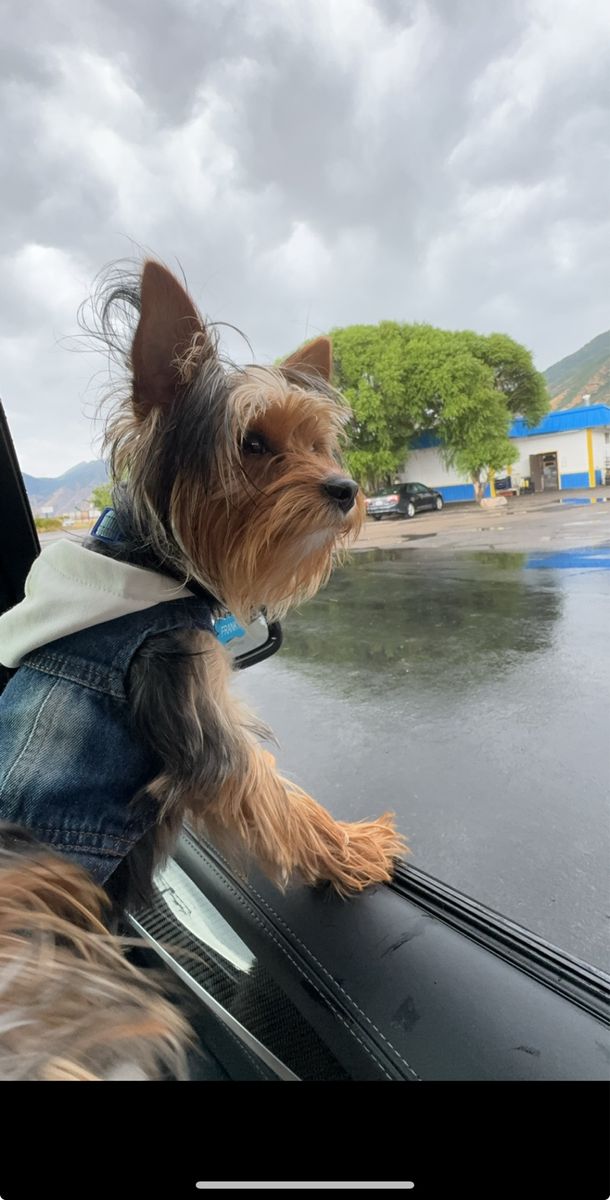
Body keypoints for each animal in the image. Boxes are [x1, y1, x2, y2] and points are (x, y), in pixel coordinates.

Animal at [0, 260, 406, 911]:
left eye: (317, 445)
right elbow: (273, 793)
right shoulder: (190, 701)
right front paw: (354, 846)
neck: (153, 563)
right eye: (253, 444)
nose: (346, 489)